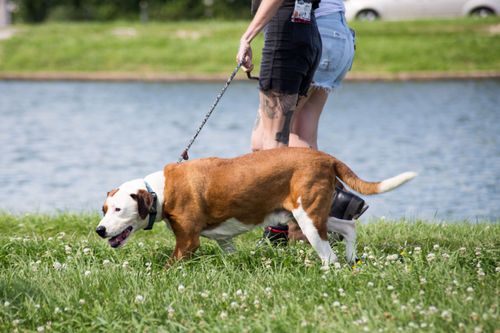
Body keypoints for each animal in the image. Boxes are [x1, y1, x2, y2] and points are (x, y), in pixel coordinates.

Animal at [95, 147, 416, 268]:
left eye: (119, 210)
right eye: (104, 208)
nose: (99, 230)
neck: (159, 191)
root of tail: (325, 157)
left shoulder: (187, 242)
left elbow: (168, 267)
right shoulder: (224, 241)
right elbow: (230, 252)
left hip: (308, 219)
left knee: (328, 255)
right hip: (307, 214)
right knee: (348, 226)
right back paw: (351, 259)